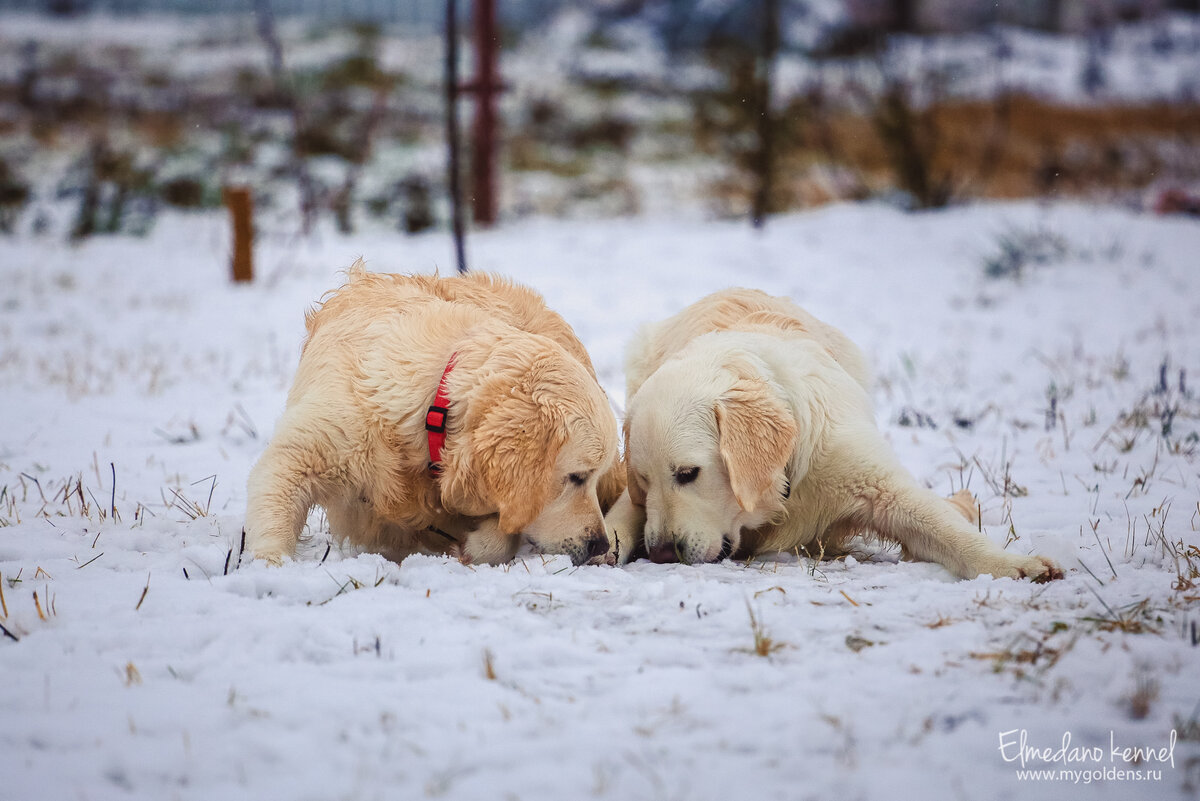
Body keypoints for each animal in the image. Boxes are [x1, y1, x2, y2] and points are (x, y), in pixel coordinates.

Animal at [240, 268, 624, 568]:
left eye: (591, 477)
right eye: (576, 477)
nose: (600, 543)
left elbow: (502, 534)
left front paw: (474, 545)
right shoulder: (306, 448)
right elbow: (276, 499)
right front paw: (270, 567)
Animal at [604, 288, 1065, 582]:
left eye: (688, 474)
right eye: (644, 482)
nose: (662, 554)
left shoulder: (873, 480)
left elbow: (943, 527)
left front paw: (1012, 566)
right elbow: (623, 514)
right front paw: (607, 541)